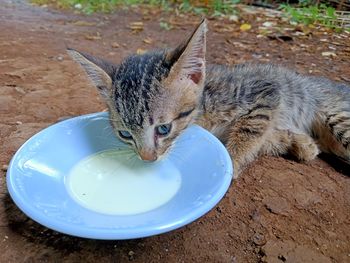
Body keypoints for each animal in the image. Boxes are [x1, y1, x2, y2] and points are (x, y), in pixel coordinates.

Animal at [67, 19, 350, 177]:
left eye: (163, 128)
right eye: (125, 134)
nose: (147, 159)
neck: (203, 115)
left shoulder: (264, 91)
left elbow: (250, 129)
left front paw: (231, 163)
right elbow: (272, 138)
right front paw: (301, 144)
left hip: (339, 120)